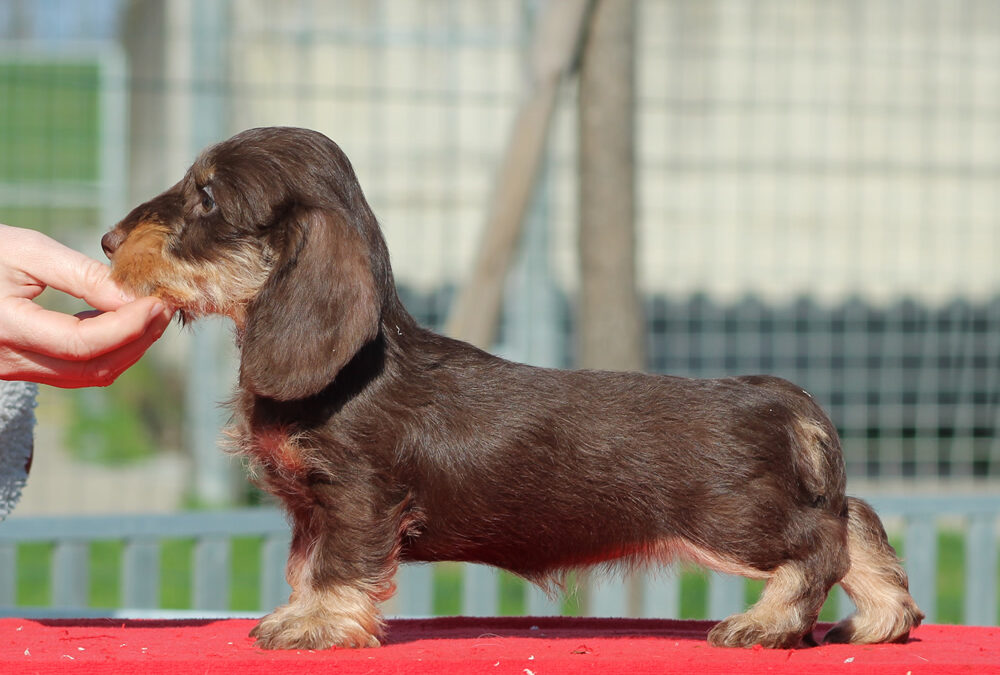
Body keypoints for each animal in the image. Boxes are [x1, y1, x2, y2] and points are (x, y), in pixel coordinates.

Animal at [101, 125, 920, 648]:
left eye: (207, 198)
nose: (108, 241)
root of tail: (781, 396)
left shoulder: (357, 497)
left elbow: (336, 568)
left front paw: (317, 626)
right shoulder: (310, 507)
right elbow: (305, 566)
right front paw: (297, 612)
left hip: (733, 521)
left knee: (822, 542)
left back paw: (767, 623)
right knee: (856, 519)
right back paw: (880, 618)